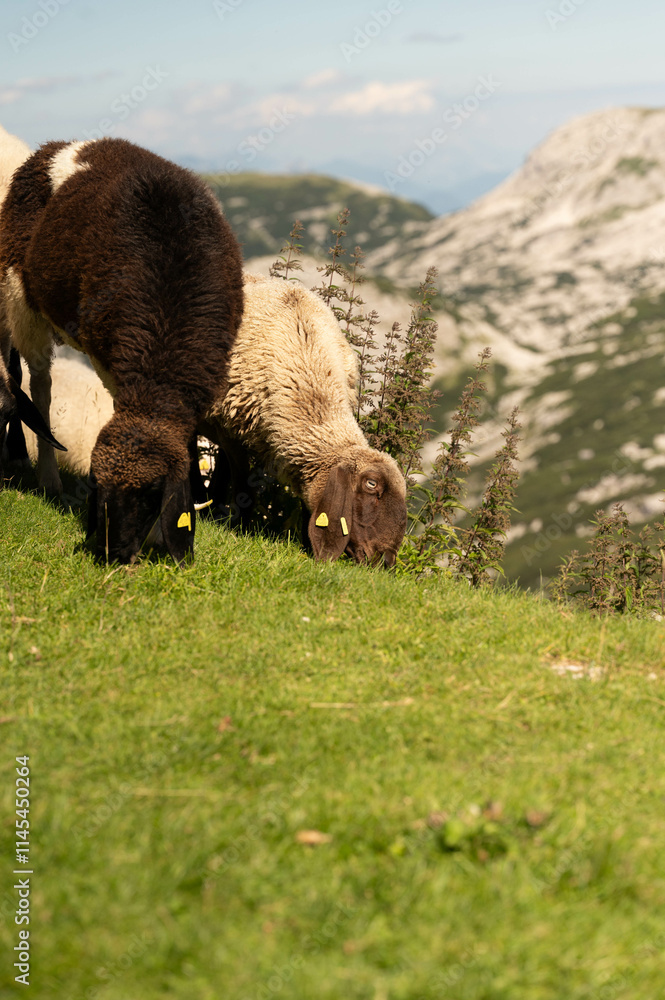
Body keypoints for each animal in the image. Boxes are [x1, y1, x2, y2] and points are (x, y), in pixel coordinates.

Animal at [0, 136, 244, 564]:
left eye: (152, 494)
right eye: (98, 486)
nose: (113, 553)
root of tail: (54, 146)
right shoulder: (111, 363)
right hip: (20, 296)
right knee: (40, 385)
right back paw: (47, 476)